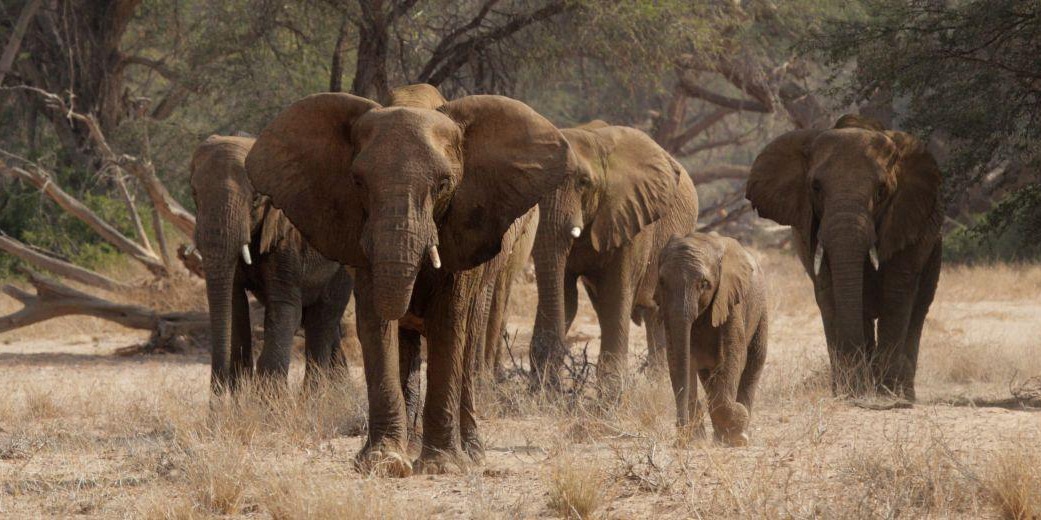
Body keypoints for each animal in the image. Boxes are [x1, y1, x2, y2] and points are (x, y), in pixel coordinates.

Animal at [190, 135, 353, 393]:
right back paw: (340, 392)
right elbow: (234, 305)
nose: (217, 399)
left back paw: (315, 398)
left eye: (256, 198)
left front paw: (266, 400)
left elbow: (284, 307)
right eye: (194, 193)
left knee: (322, 320)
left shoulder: (287, 237)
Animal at [245, 92, 572, 476]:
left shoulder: (463, 225)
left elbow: (449, 320)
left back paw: (471, 454)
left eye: (443, 184)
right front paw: (384, 462)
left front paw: (441, 465)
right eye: (358, 182)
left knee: (468, 339)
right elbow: (374, 321)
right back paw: (413, 446)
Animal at [656, 232, 767, 446]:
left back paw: (739, 433)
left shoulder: (730, 299)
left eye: (704, 284)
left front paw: (737, 433)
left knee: (754, 362)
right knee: (708, 376)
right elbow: (679, 360)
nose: (679, 440)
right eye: (662, 282)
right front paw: (696, 440)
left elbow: (733, 355)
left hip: (761, 309)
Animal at [746, 114, 943, 400]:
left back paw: (902, 393)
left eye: (881, 190)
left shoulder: (906, 216)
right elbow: (830, 291)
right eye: (815, 187)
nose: (859, 389)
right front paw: (851, 392)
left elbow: (896, 292)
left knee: (919, 307)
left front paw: (885, 394)